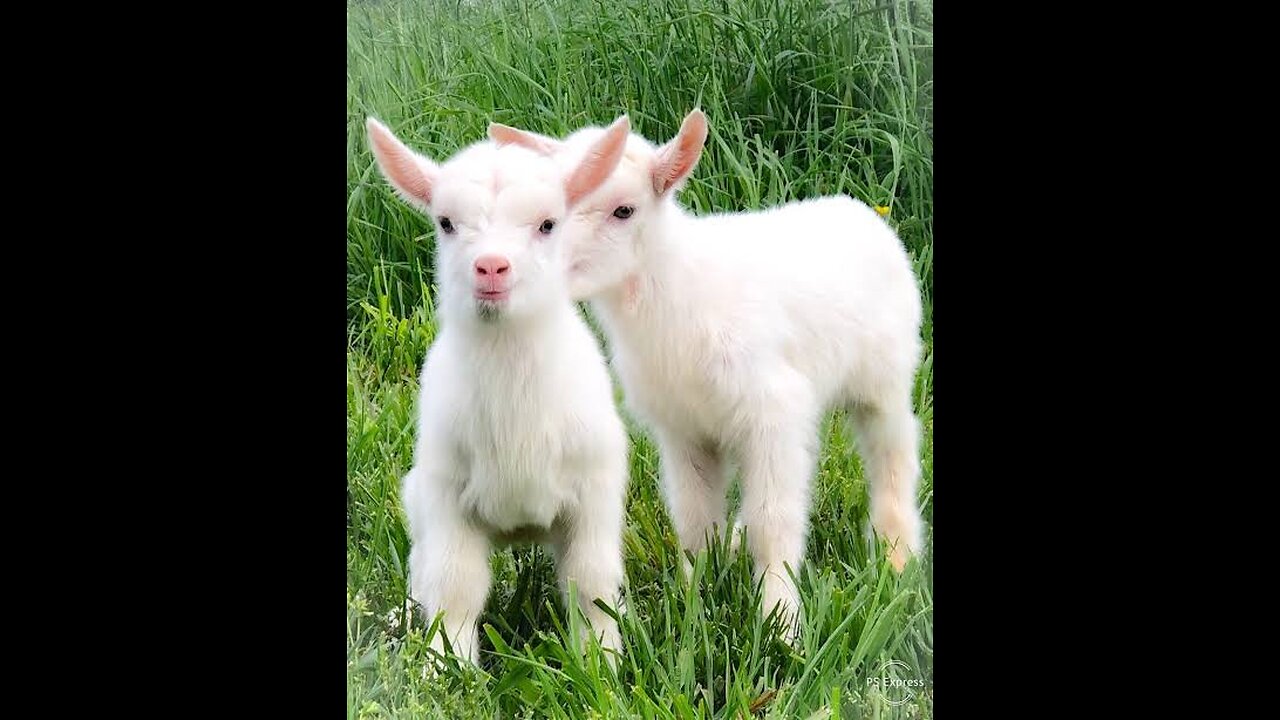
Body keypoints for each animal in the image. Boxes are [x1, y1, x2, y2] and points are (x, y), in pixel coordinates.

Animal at [366, 116, 634, 661]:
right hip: (417, 502)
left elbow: (591, 586)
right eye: (446, 223)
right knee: (421, 573)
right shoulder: (445, 494)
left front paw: (602, 661)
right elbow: (454, 590)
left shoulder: (595, 488)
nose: (490, 266)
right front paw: (448, 667)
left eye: (548, 224)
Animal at [494, 110, 926, 638]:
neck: (678, 291)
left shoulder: (773, 410)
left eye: (624, 211)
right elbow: (695, 519)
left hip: (885, 376)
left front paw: (781, 623)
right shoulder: (683, 428)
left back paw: (897, 555)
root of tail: (860, 211)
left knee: (894, 450)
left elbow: (774, 519)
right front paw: (693, 597)